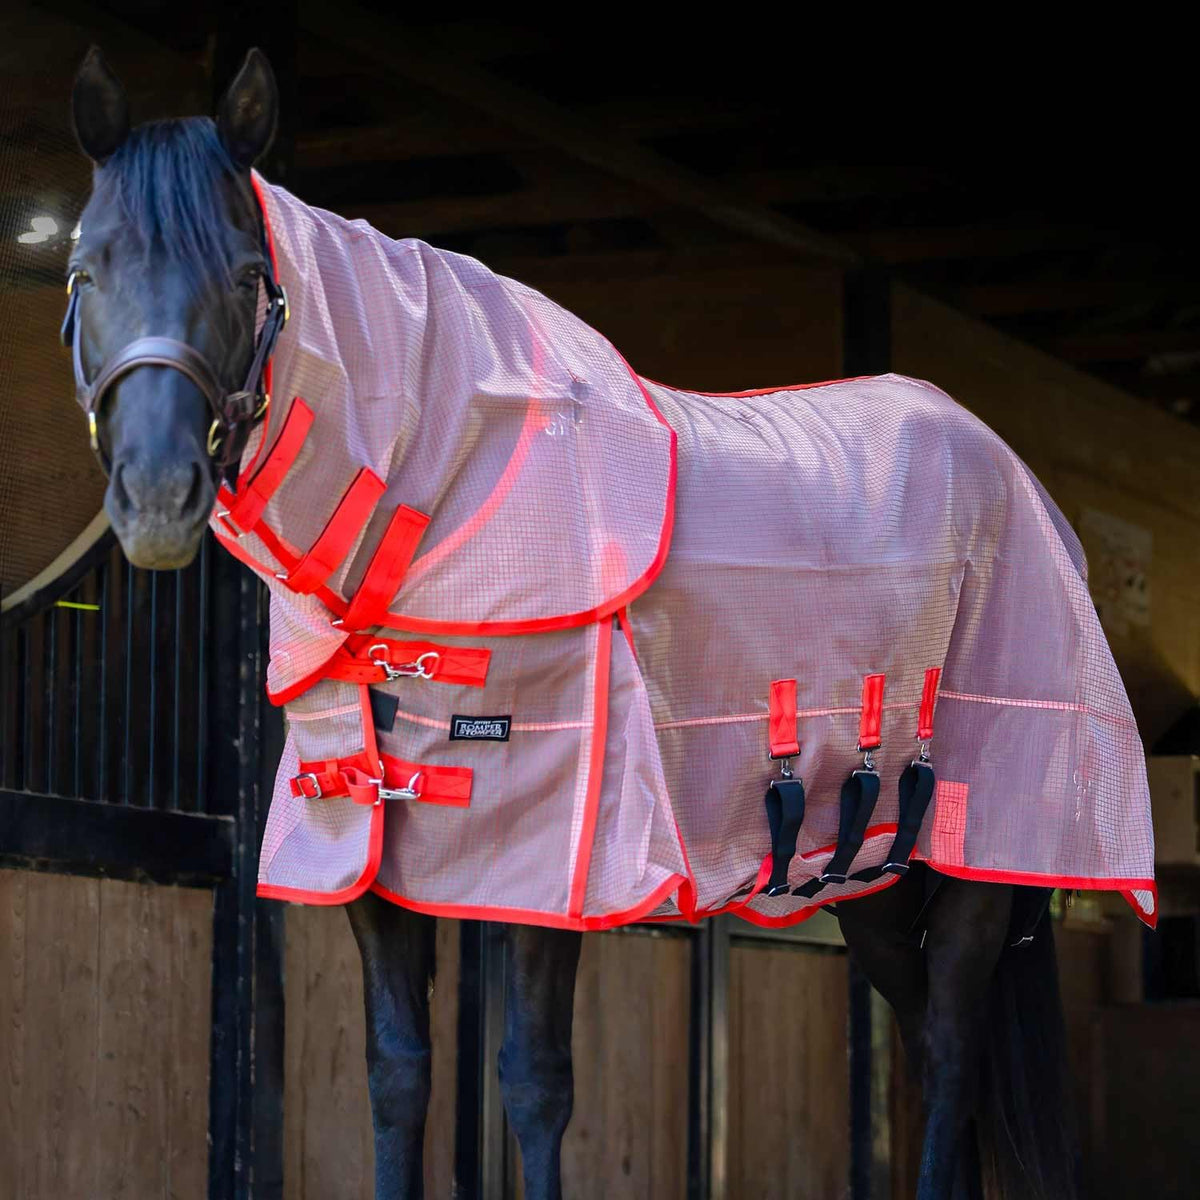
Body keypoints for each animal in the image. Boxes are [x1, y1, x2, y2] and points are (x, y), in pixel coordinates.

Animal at [64, 46, 1090, 1200]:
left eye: (246, 274)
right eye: (85, 270)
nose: (157, 498)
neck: (449, 491)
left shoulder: (556, 863)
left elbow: (532, 1081)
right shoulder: (369, 855)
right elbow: (397, 1073)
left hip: (974, 862)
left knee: (953, 1050)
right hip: (870, 874)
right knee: (931, 1044)